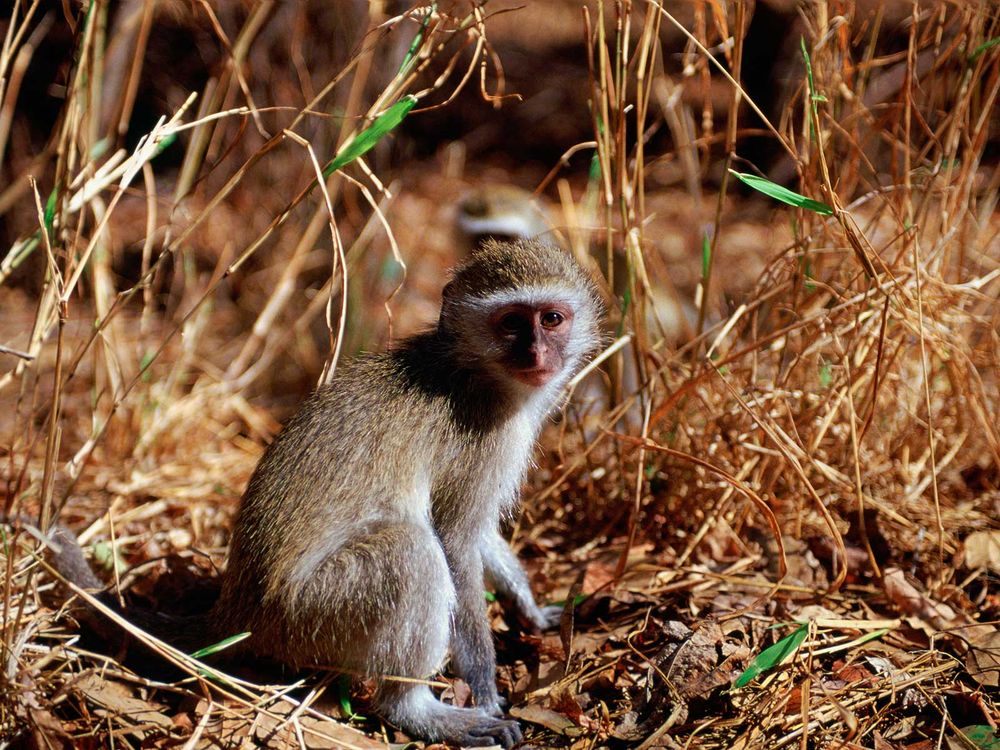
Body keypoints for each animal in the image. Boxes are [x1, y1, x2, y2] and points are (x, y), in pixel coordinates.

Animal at [13, 239, 600, 748]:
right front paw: (482, 684)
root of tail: (239, 615)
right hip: (312, 615)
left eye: (551, 319)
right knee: (410, 552)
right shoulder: (485, 439)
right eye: (512, 322)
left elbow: (476, 538)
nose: (537, 353)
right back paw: (416, 712)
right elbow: (456, 540)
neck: (477, 370)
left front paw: (530, 610)